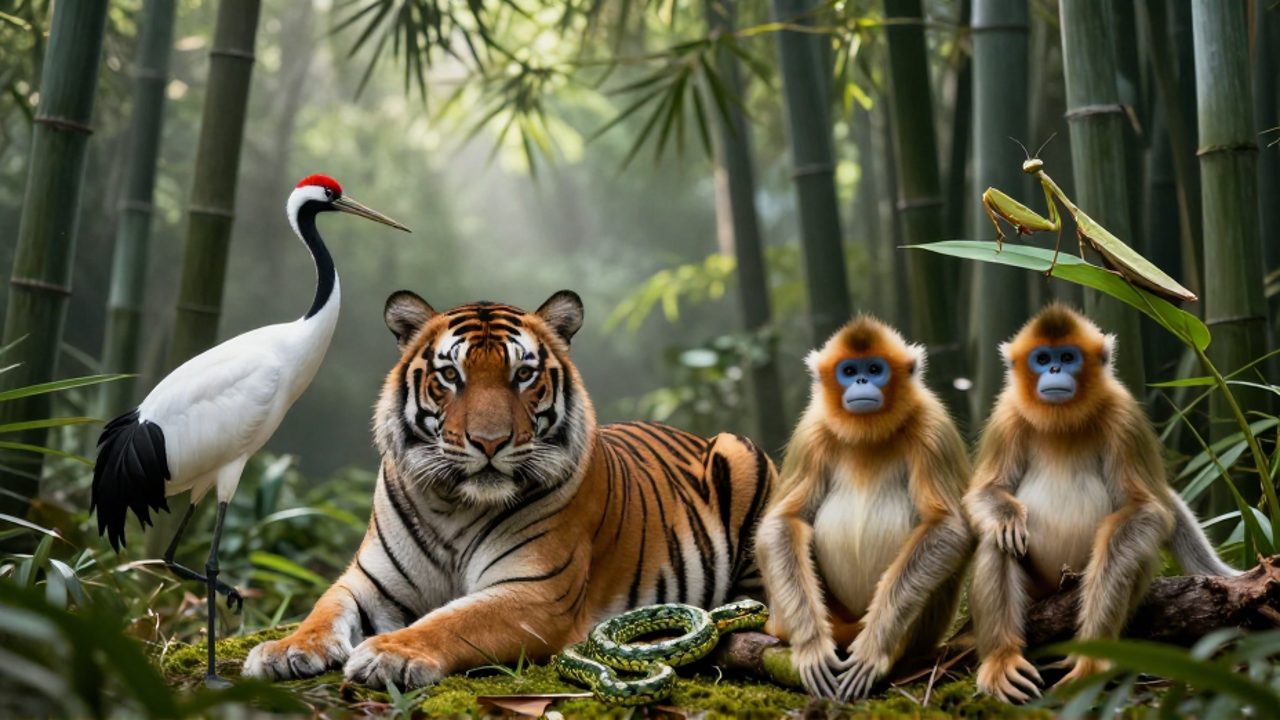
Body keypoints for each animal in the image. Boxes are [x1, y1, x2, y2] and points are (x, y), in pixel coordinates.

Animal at [243, 289, 776, 688]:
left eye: (523, 374)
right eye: (450, 375)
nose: (489, 441)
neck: (453, 505)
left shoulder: (535, 592)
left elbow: (452, 620)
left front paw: (390, 653)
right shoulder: (368, 581)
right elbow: (322, 609)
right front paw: (285, 649)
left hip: (742, 457)